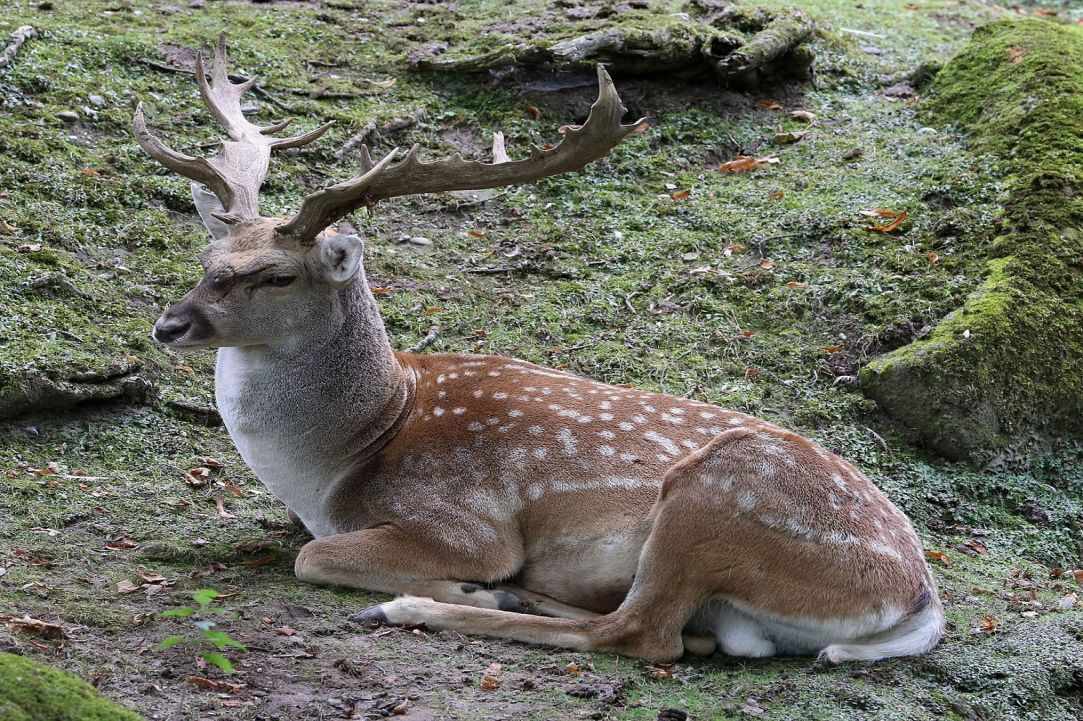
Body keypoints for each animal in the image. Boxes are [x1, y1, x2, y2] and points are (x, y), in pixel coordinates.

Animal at [137, 35, 943, 664]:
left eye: (276, 274)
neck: (337, 462)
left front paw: (457, 583)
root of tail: (919, 597)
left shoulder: (463, 522)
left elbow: (313, 556)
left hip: (718, 492)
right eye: (209, 255)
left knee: (643, 634)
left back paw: (427, 605)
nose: (169, 325)